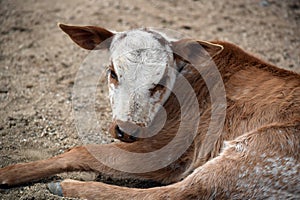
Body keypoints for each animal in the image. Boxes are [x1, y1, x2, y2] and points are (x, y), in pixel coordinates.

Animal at [0, 24, 300, 199]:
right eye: (112, 72)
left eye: (159, 81)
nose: (125, 130)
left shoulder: (172, 151)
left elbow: (82, 151)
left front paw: (9, 172)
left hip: (255, 152)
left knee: (173, 193)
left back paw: (68, 187)